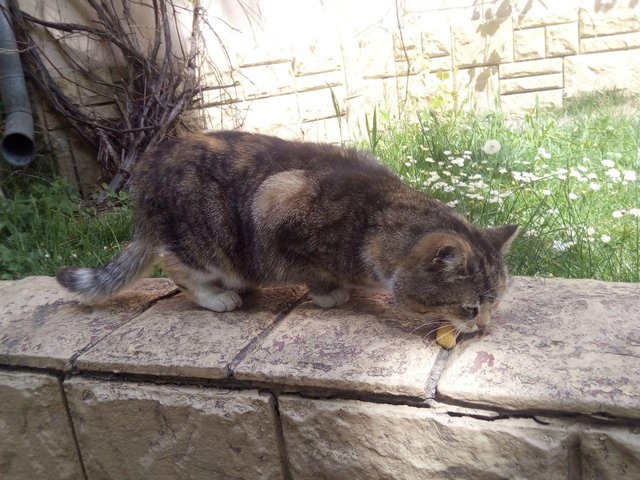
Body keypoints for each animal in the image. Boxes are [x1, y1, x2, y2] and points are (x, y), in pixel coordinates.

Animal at [57, 131, 516, 334]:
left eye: (495, 303)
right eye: (470, 308)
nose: (485, 327)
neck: (374, 218)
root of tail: (148, 168)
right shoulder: (278, 205)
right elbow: (315, 273)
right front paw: (333, 294)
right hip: (204, 235)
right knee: (176, 264)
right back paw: (218, 295)